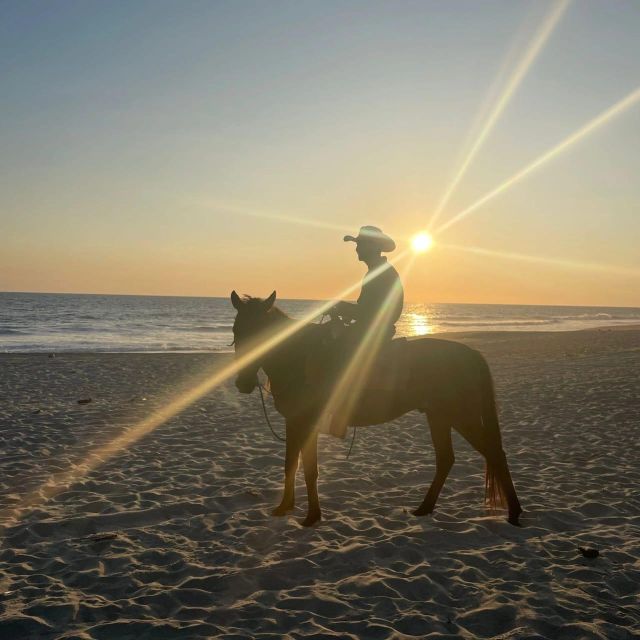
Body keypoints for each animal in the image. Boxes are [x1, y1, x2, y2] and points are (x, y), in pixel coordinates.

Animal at [232, 292, 524, 528]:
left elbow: (309, 470)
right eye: (236, 331)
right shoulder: (293, 422)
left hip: (463, 416)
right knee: (446, 459)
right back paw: (424, 508)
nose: (242, 383)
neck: (297, 358)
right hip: (438, 416)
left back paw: (514, 512)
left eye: (261, 333)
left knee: (494, 454)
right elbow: (290, 464)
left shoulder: (306, 422)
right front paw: (284, 507)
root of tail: (471, 354)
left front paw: (312, 517)